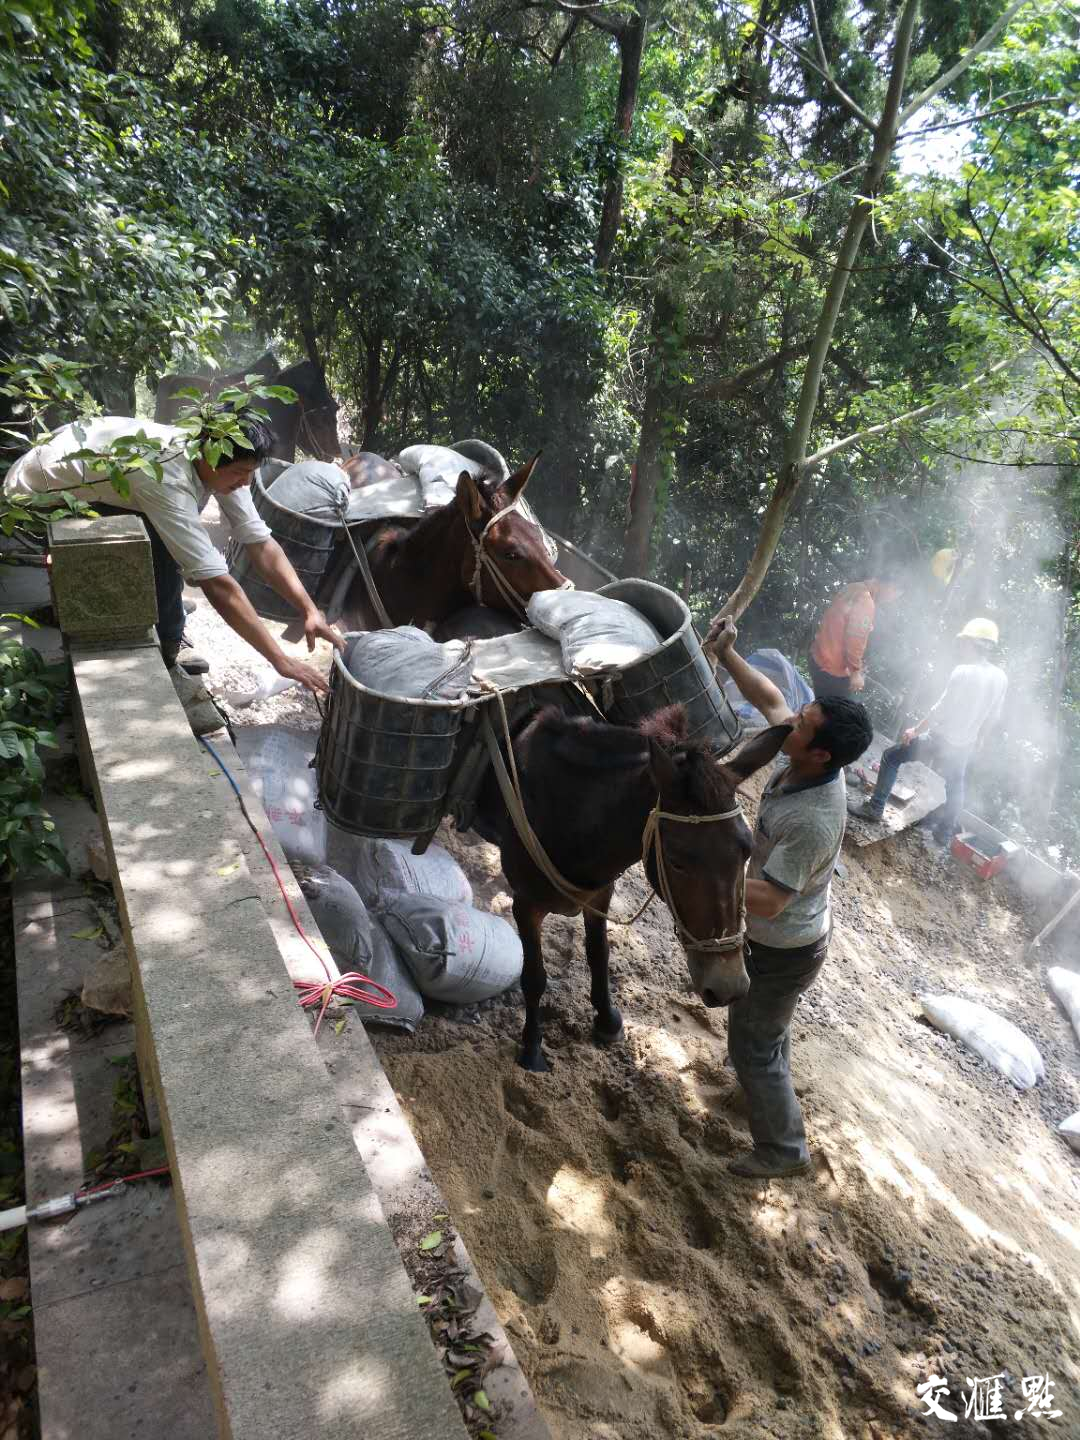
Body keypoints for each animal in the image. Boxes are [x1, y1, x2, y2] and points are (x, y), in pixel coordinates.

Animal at [478, 702, 789, 1077]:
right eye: (676, 861)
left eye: (747, 851)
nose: (729, 987)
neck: (571, 809)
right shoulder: (526, 904)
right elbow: (535, 977)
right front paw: (532, 1048)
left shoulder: (600, 894)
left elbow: (599, 954)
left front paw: (608, 1021)